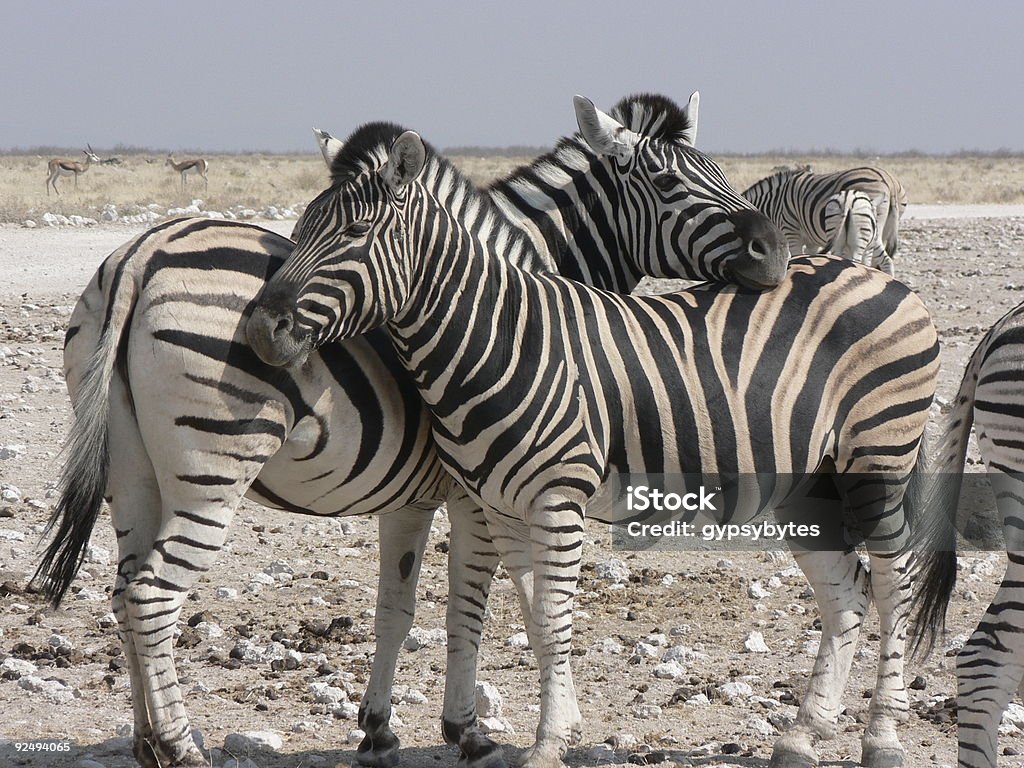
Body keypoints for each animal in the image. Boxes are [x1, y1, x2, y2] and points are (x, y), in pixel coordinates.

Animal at [32, 94, 782, 768]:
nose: (773, 254)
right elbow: (475, 603)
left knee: (125, 590)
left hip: (131, 470)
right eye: (670, 182)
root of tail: (141, 254)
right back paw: (182, 745)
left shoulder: (413, 499)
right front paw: (471, 730)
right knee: (154, 594)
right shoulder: (477, 495)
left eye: (716, 167)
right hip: (212, 466)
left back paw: (145, 741)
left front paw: (379, 729)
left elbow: (396, 607)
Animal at [741, 163, 909, 272]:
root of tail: (891, 182)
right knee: (885, 260)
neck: (774, 203)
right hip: (879, 230)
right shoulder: (811, 242)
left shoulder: (791, 232)